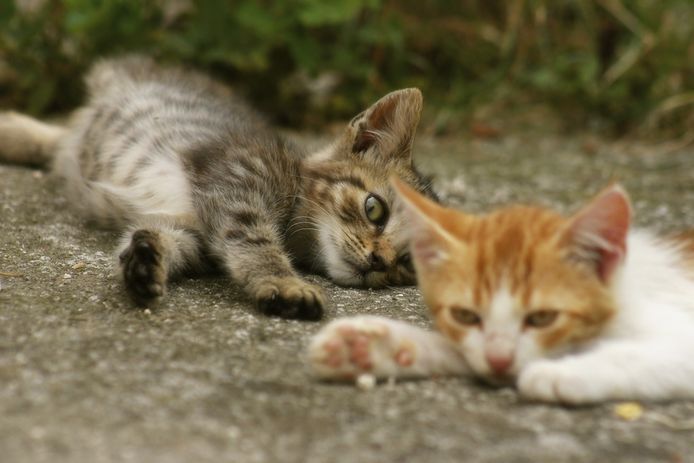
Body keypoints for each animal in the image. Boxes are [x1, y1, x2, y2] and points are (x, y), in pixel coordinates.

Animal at [0, 56, 436, 320]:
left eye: (407, 263)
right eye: (374, 209)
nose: (379, 261)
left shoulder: (196, 235)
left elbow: (168, 241)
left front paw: (146, 260)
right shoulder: (237, 183)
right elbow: (256, 243)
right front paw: (286, 282)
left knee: (61, 142)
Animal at [310, 179, 694, 404]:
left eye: (542, 318)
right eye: (465, 315)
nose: (499, 360)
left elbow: (642, 354)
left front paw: (560, 373)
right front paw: (369, 347)